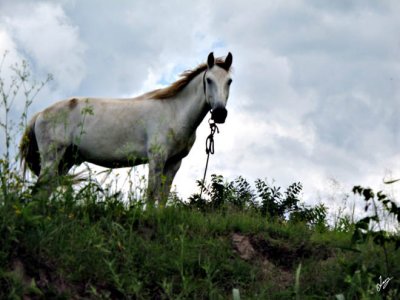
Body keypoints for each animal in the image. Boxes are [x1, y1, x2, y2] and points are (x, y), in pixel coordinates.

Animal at [20, 52, 233, 204]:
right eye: (209, 80)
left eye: (229, 81)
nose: (220, 113)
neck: (174, 111)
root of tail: (40, 114)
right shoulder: (157, 158)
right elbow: (151, 193)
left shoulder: (174, 163)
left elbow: (163, 196)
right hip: (52, 158)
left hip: (65, 161)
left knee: (45, 191)